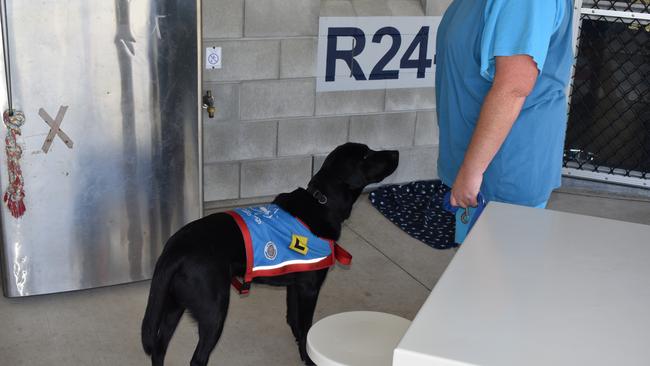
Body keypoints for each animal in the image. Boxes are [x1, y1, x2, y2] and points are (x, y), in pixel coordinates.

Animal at [139, 143, 398, 366]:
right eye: (365, 155)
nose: (396, 152)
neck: (321, 202)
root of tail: (174, 250)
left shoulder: (296, 284)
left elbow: (294, 321)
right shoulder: (310, 288)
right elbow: (306, 327)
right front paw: (308, 357)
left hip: (174, 305)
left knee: (159, 348)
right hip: (214, 310)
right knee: (196, 359)